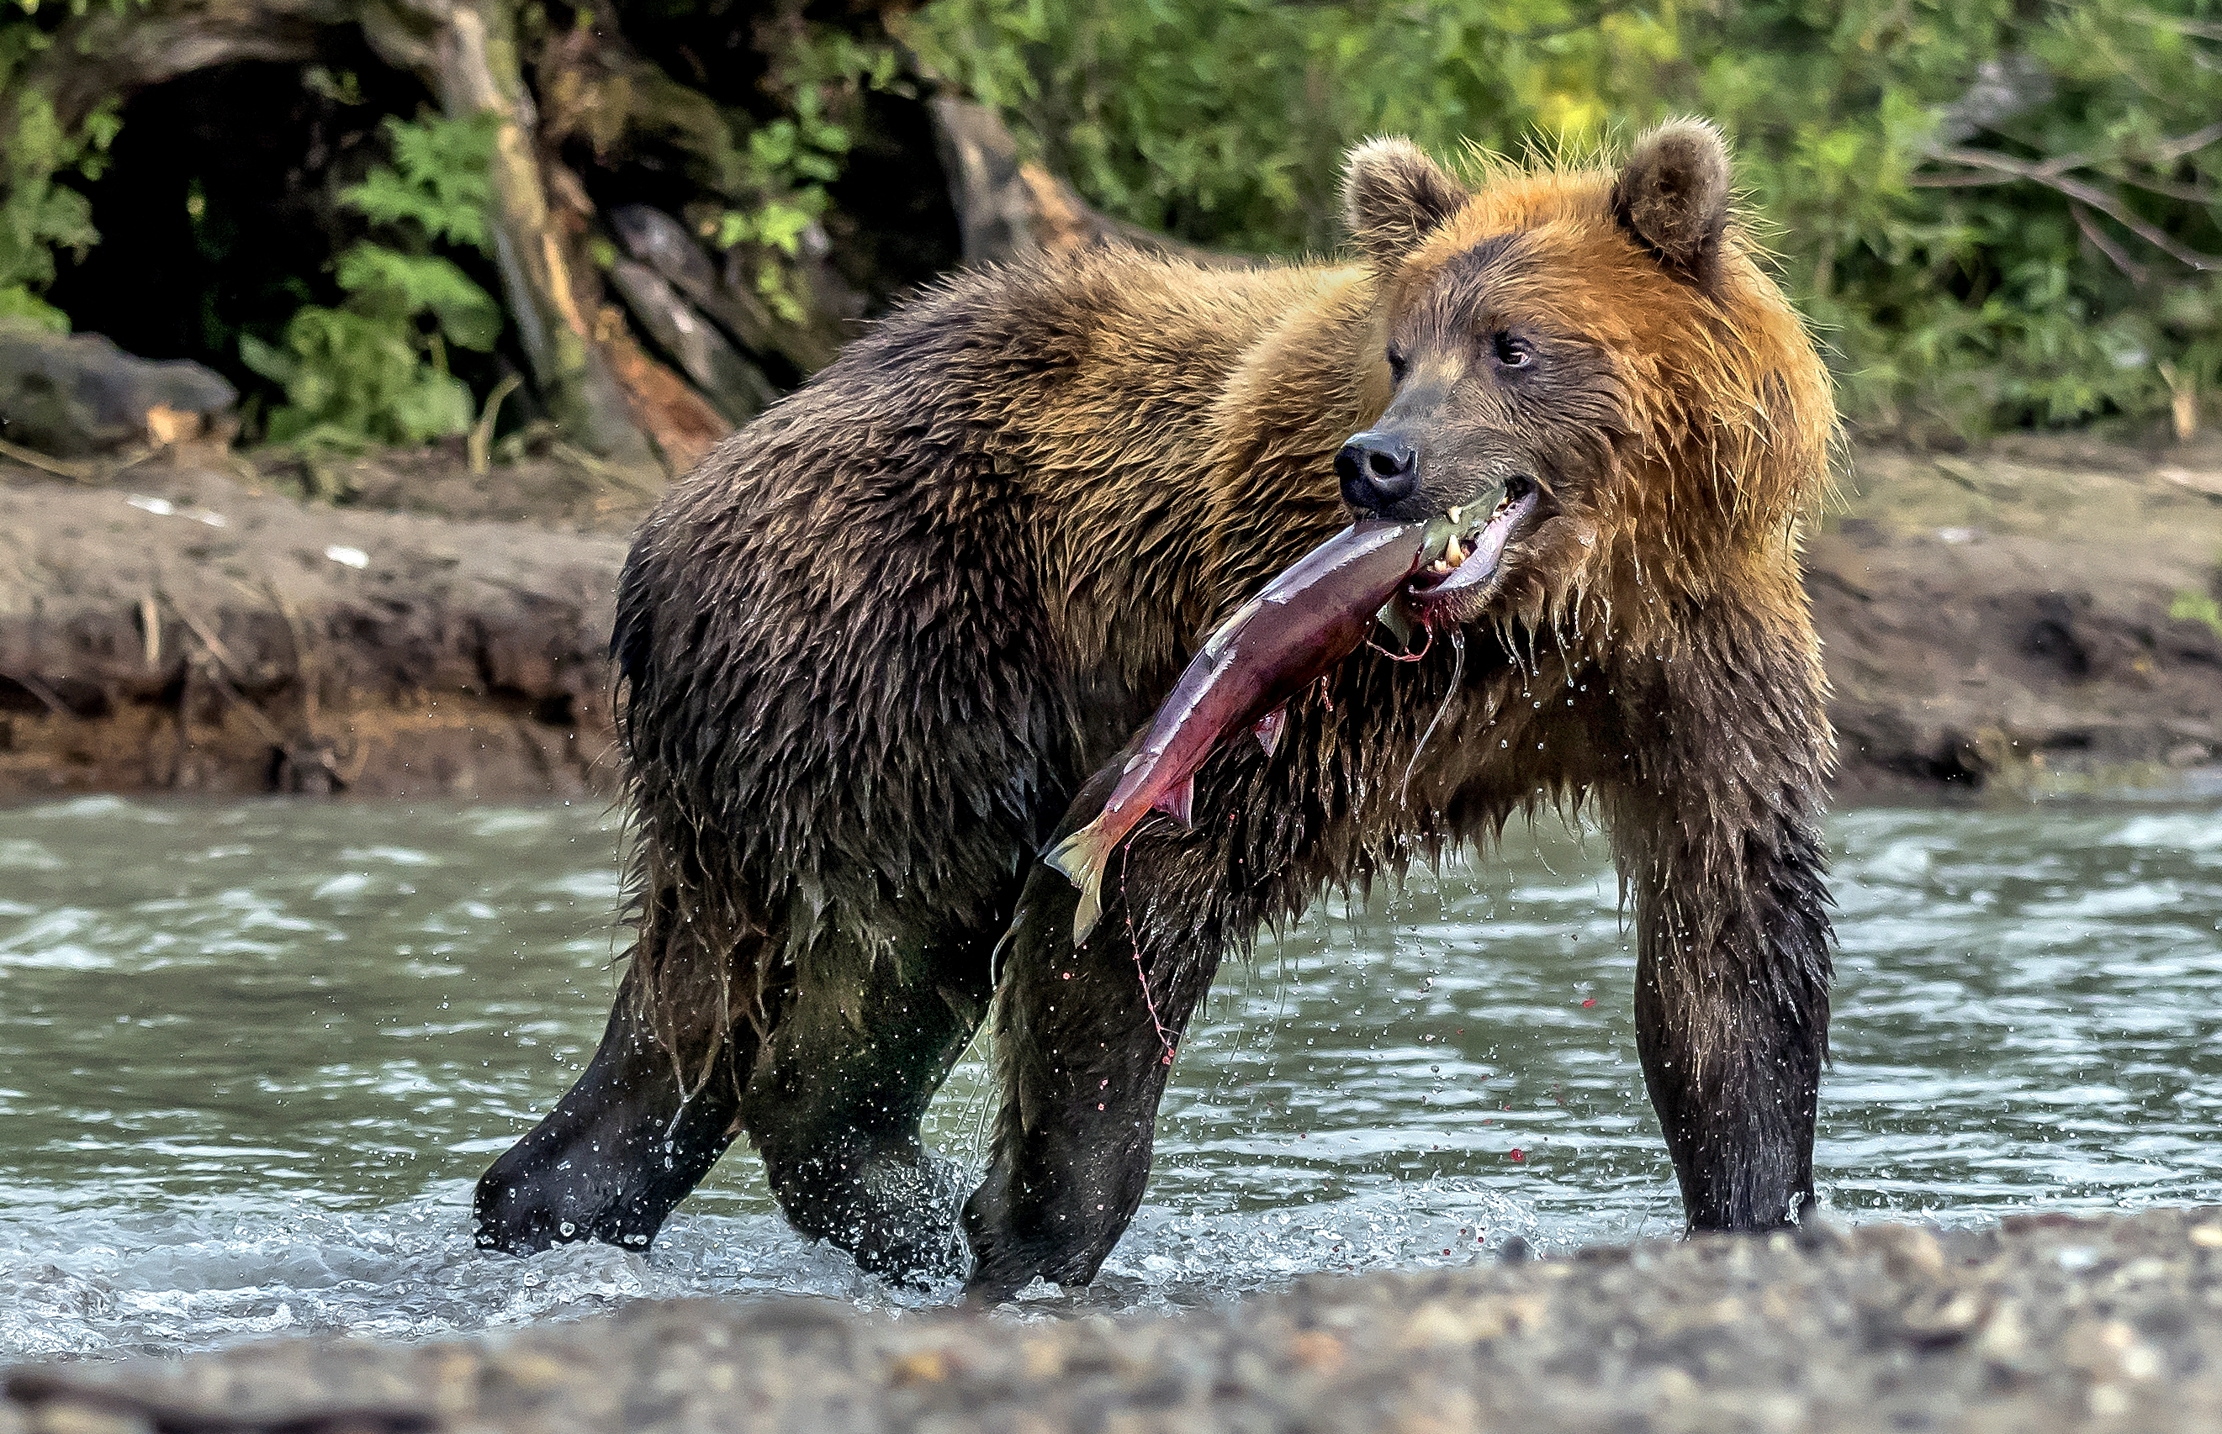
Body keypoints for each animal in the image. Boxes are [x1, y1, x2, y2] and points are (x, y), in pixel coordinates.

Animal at [473, 117, 1839, 1289]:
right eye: (1401, 352)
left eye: (1512, 344)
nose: (1380, 464)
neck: (1551, 609)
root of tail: (669, 523)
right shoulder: (1302, 672)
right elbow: (1141, 883)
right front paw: (1033, 1233)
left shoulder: (1694, 662)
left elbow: (1727, 951)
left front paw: (1752, 1203)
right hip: (898, 655)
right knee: (874, 944)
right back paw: (892, 1213)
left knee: (736, 1009)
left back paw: (596, 1202)